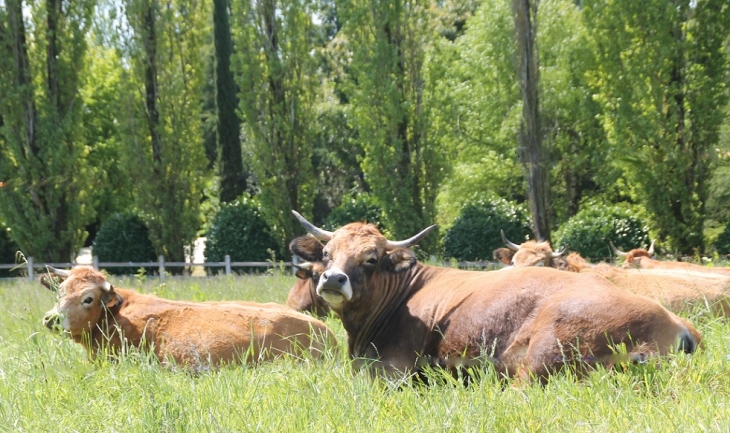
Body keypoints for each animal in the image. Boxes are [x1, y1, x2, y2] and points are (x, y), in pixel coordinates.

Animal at [290, 211, 700, 384]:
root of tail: (675, 322)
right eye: (327, 253)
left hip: (546, 352)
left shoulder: (393, 371)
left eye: (371, 258)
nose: (333, 278)